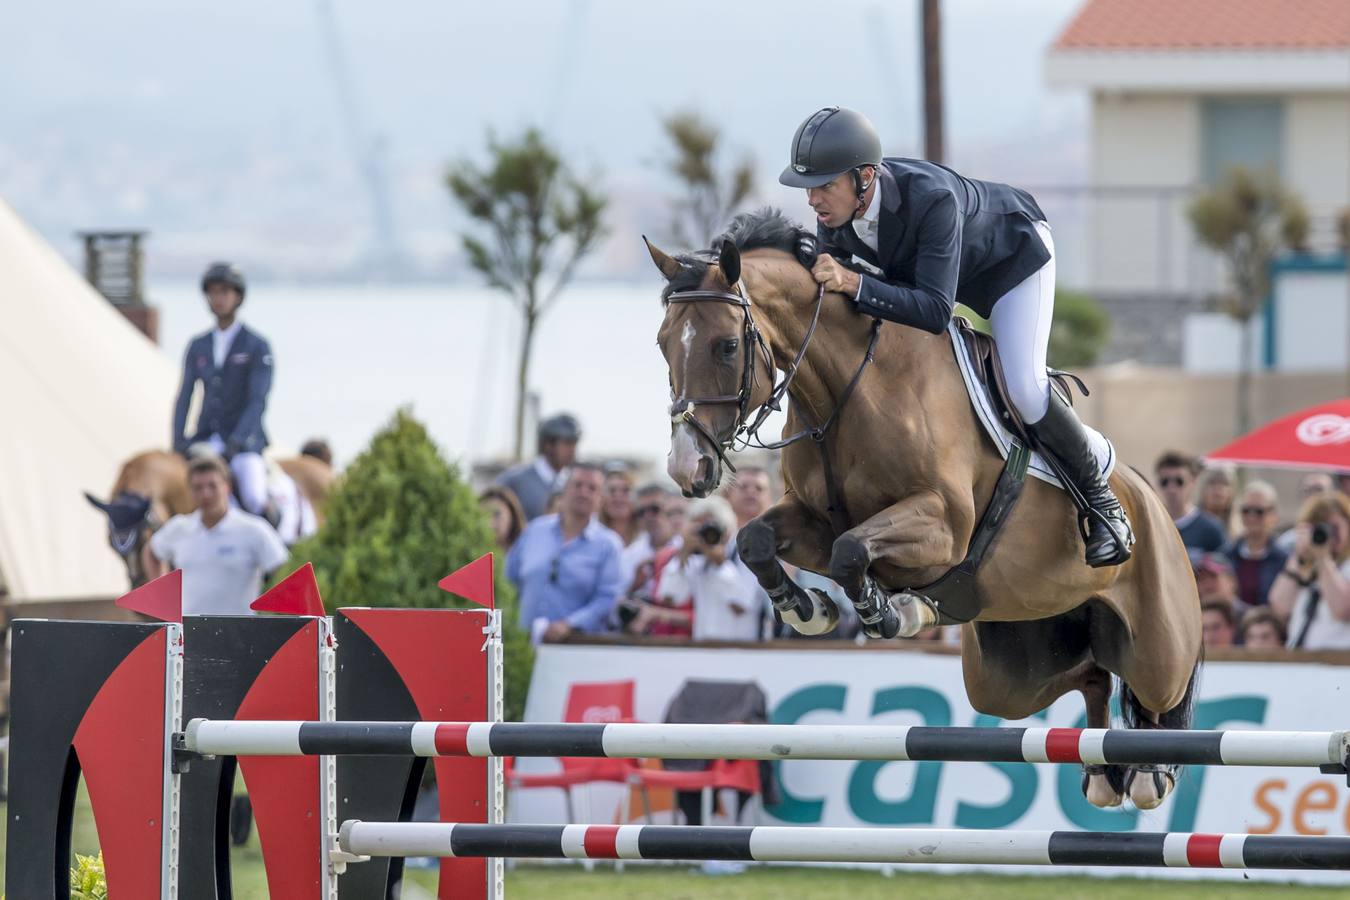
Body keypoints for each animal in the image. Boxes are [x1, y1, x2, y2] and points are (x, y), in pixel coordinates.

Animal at [648, 209, 1198, 809]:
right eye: (662, 344)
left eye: (727, 346)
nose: (686, 468)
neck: (851, 389)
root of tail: (1154, 505)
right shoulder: (813, 518)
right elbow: (757, 541)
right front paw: (808, 608)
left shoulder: (943, 527)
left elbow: (851, 551)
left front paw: (888, 611)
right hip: (1009, 673)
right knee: (1092, 675)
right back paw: (1100, 771)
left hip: (1157, 647)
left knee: (1166, 687)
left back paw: (1151, 768)